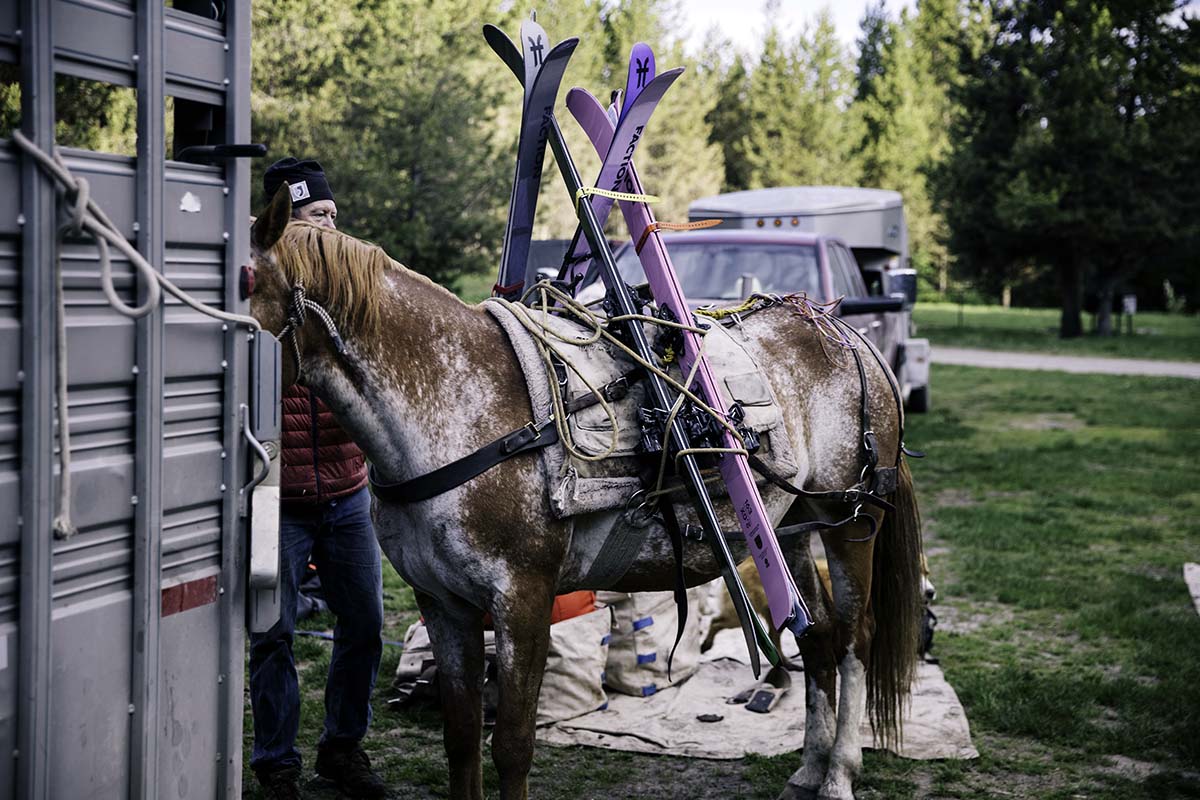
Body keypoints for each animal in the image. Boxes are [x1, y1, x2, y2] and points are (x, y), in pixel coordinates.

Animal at [247, 187, 925, 800]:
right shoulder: (443, 602)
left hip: (848, 522)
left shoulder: (522, 600)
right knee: (816, 635)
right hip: (790, 531)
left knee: (855, 640)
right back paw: (808, 769)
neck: (456, 406)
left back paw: (837, 776)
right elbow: (462, 739)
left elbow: (512, 745)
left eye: (241, 283)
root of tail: (842, 330)